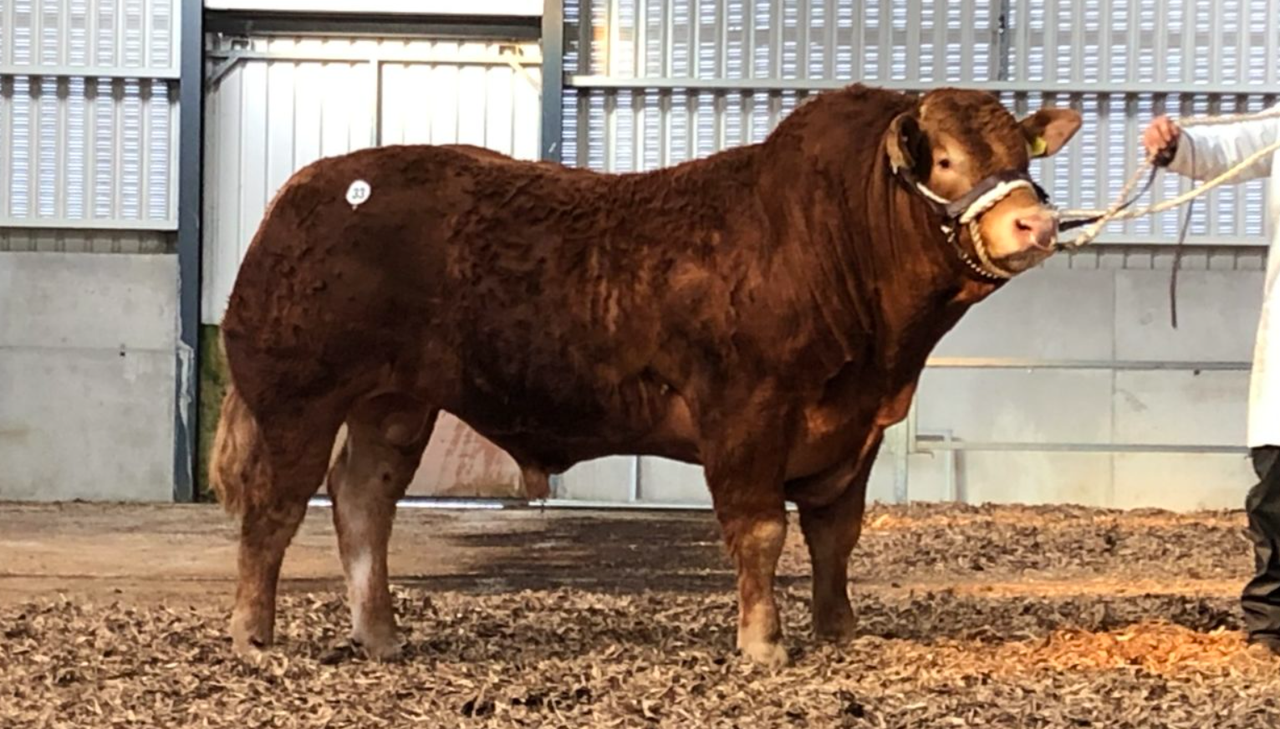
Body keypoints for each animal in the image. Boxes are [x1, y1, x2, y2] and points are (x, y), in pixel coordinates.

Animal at [210, 83, 1081, 668]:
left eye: (1021, 157)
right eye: (944, 158)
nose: (1035, 222)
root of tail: (304, 191)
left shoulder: (855, 429)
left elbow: (836, 532)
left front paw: (838, 628)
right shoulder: (746, 411)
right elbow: (761, 530)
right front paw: (764, 643)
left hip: (394, 401)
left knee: (365, 498)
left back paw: (383, 633)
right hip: (298, 396)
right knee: (275, 504)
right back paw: (254, 634)